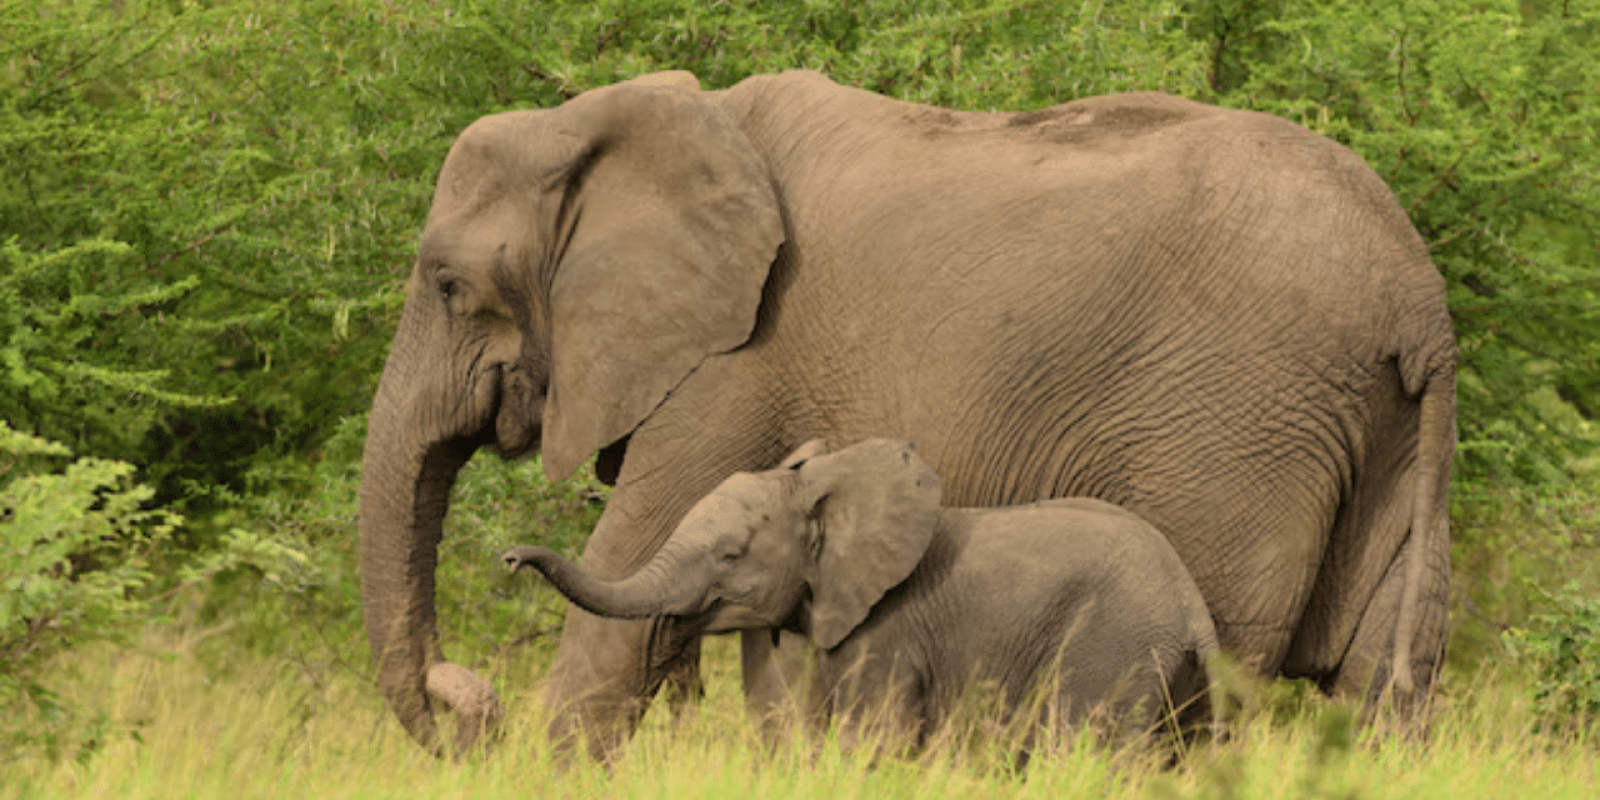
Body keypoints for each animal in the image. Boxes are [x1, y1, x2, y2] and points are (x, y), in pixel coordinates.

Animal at [505, 441, 1216, 745]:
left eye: (730, 556)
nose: (510, 557)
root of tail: (1189, 601)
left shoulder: (888, 632)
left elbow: (872, 737)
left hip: (1111, 646)